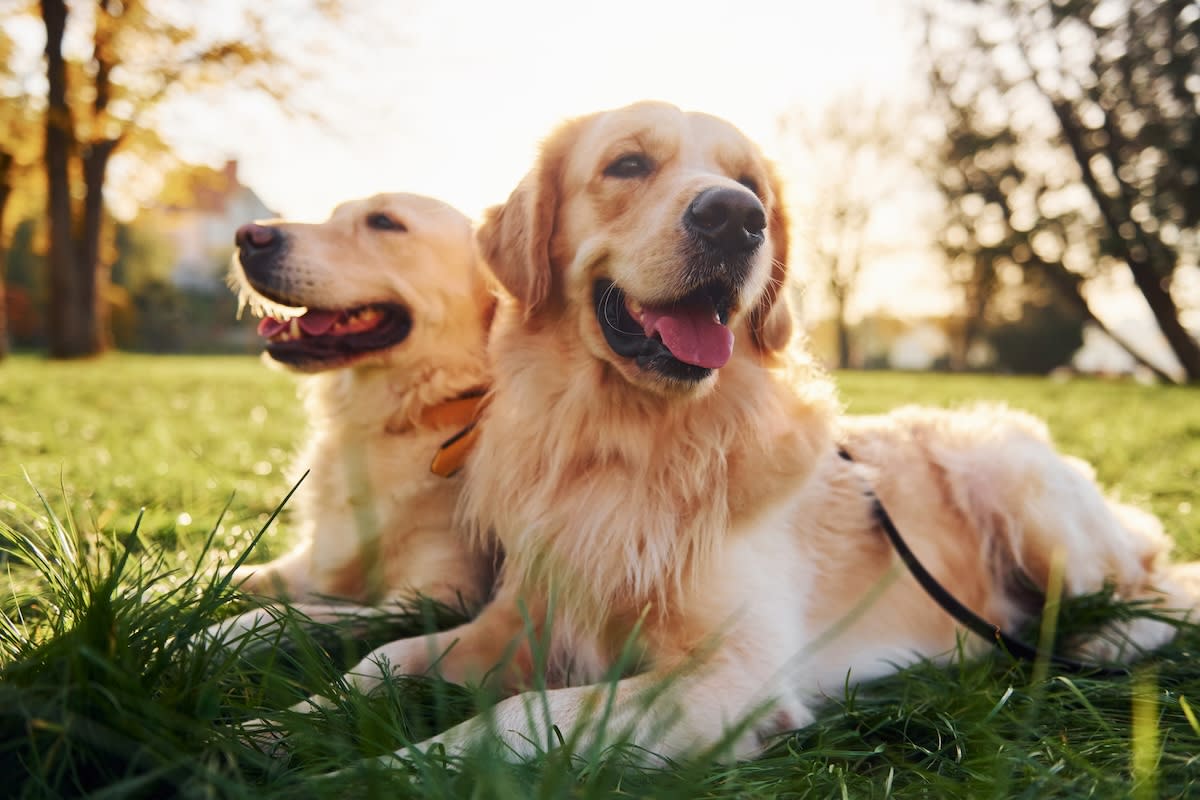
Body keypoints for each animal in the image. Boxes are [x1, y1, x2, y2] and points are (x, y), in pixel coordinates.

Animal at [211, 194, 496, 642]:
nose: (247, 236)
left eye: (384, 222)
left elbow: (287, 614)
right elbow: (219, 576)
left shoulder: (435, 598)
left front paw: (213, 635)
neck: (400, 420)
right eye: (332, 215)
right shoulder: (311, 560)